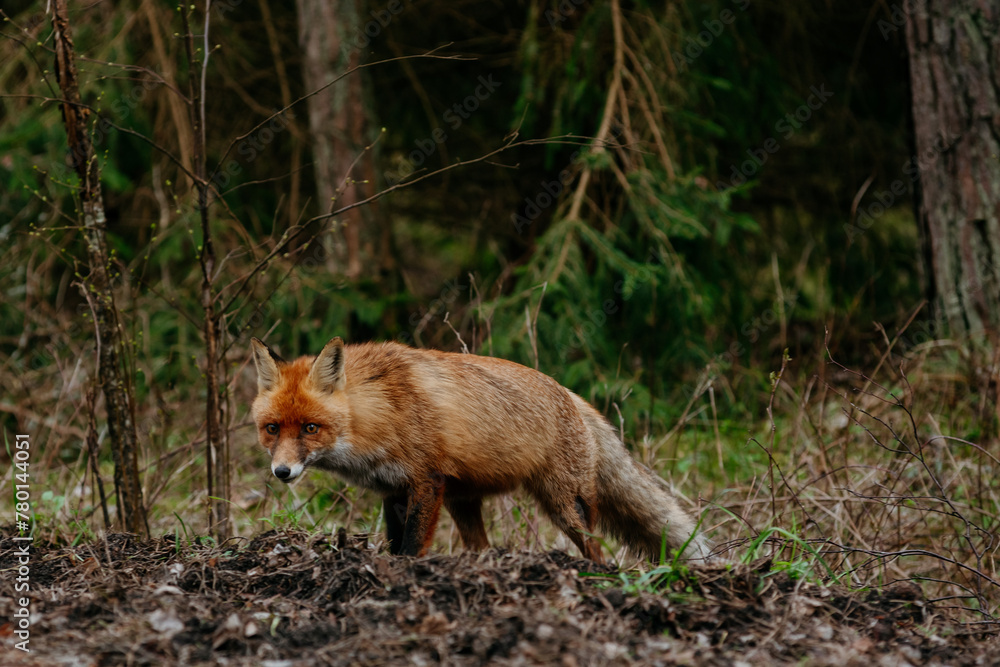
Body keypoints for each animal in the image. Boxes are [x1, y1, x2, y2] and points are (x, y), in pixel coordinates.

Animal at [249, 337, 709, 563]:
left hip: (567, 507)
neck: (380, 412)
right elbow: (396, 546)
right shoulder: (394, 490)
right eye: (272, 429)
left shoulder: (426, 482)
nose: (282, 473)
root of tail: (572, 395)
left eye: (310, 428)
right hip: (464, 503)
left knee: (599, 552)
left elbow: (411, 547)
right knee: (482, 548)